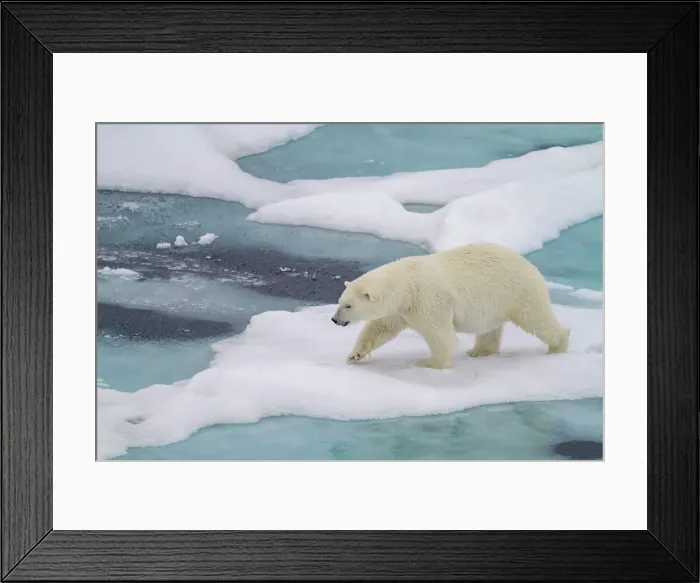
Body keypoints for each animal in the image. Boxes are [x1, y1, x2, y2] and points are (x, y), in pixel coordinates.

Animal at [331, 242, 570, 369]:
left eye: (348, 306)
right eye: (340, 302)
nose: (334, 319)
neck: (407, 283)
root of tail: (531, 265)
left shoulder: (427, 299)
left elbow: (439, 334)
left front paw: (428, 364)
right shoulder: (401, 309)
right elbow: (380, 328)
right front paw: (354, 356)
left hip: (518, 291)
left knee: (536, 318)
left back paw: (558, 345)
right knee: (490, 329)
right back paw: (478, 351)